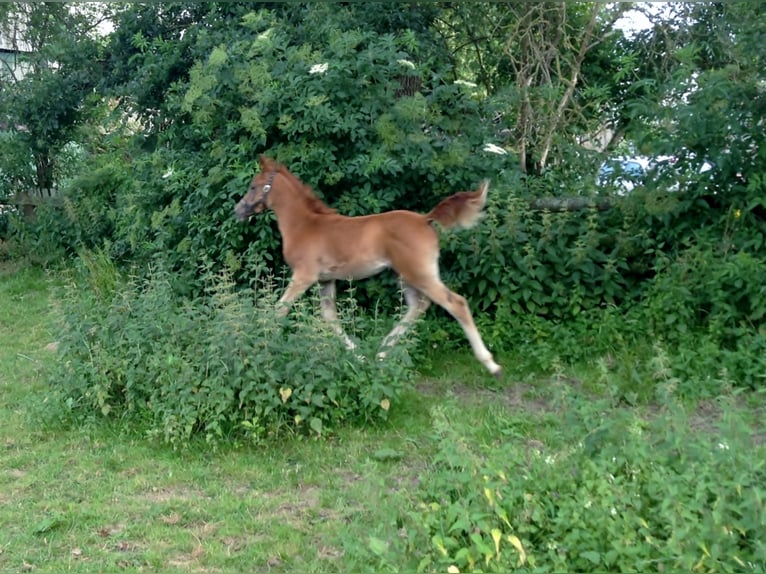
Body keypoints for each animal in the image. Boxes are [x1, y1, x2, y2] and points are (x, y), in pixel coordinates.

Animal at [234, 155, 502, 379]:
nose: (238, 210)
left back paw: (491, 365)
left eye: (254, 186)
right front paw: (359, 356)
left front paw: (262, 345)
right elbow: (330, 318)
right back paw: (382, 353)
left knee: (456, 303)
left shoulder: (304, 276)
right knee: (419, 306)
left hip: (419, 273)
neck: (305, 224)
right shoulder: (325, 279)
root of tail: (425, 219)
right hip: (406, 276)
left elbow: (279, 310)